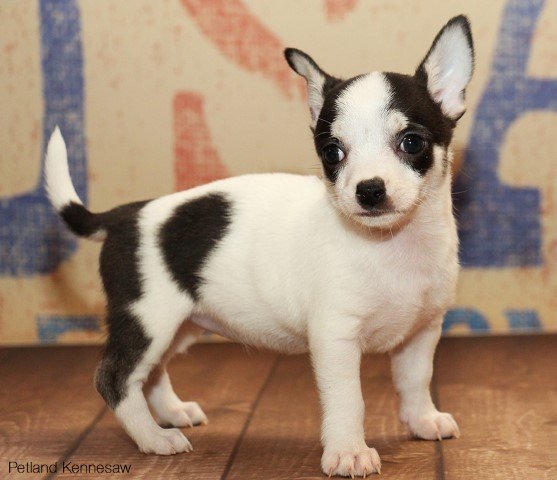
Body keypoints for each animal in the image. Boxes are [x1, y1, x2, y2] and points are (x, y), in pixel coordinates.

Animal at [45, 15, 474, 476]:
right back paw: (154, 438)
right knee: (116, 378)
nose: (369, 190)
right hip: (148, 318)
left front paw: (422, 419)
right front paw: (348, 452)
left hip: (181, 324)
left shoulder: (423, 330)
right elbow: (348, 399)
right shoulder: (336, 338)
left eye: (412, 142)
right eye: (332, 153)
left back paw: (172, 413)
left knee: (152, 371)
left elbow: (416, 379)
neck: (392, 243)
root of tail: (124, 215)